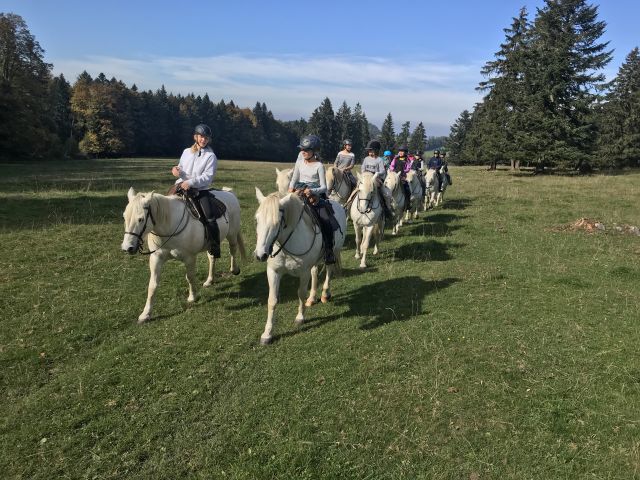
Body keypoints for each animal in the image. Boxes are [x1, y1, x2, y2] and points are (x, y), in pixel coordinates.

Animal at [121, 188, 246, 322]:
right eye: (124, 217)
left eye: (141, 219)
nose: (127, 248)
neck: (169, 225)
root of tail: (229, 193)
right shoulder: (156, 258)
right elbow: (152, 285)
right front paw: (146, 314)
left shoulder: (189, 258)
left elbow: (190, 277)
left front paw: (192, 297)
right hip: (211, 245)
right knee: (212, 258)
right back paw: (209, 280)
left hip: (232, 234)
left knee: (233, 250)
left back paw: (234, 270)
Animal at [255, 188, 348, 344]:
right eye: (257, 219)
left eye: (277, 222)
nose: (260, 254)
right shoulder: (273, 271)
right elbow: (272, 300)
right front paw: (267, 334)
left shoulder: (303, 273)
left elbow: (300, 293)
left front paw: (300, 317)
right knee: (315, 272)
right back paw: (312, 298)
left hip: (333, 252)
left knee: (329, 271)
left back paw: (325, 294)